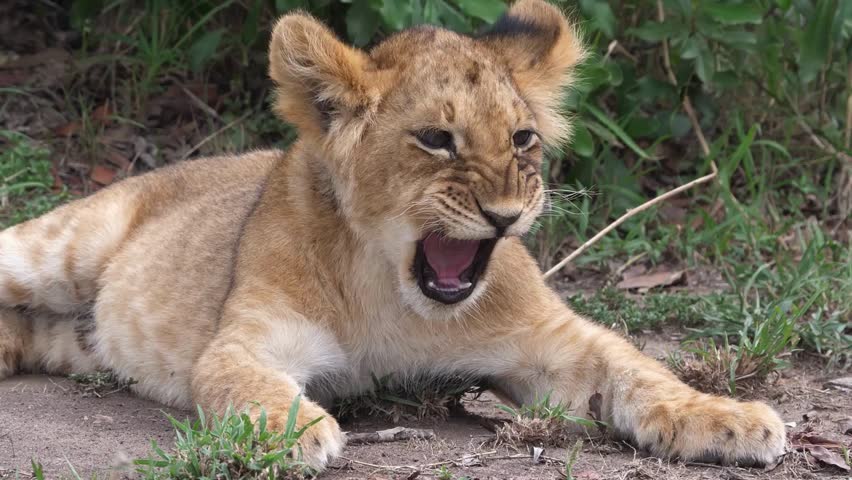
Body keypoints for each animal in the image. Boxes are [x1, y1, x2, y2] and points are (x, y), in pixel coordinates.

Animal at [0, 0, 785, 471]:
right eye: (436, 139)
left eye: (522, 138)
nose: (506, 214)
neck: (392, 290)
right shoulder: (248, 337)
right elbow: (241, 380)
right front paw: (295, 431)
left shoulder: (551, 342)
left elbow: (641, 368)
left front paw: (730, 418)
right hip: (57, 247)